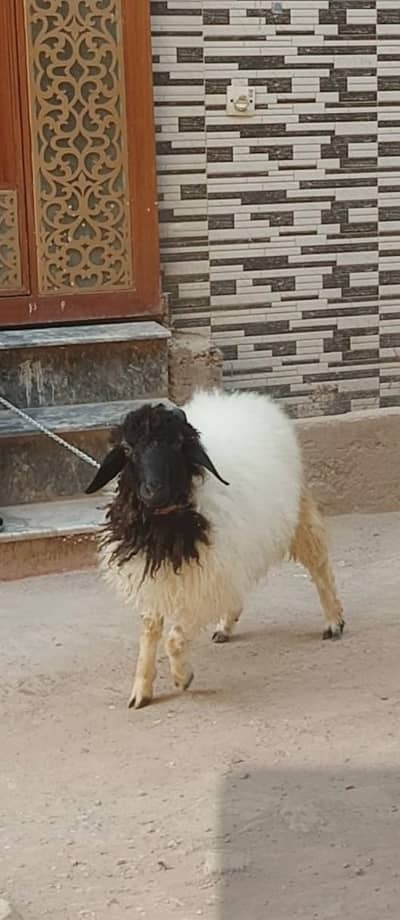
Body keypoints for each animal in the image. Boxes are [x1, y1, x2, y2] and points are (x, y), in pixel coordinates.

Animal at [86, 389, 344, 710]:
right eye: (127, 449)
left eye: (177, 443)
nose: (153, 490)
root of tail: (242, 398)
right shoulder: (158, 576)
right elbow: (150, 631)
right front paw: (141, 690)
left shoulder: (203, 582)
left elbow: (174, 638)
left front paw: (183, 678)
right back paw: (225, 627)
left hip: (297, 516)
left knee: (320, 567)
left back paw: (334, 621)